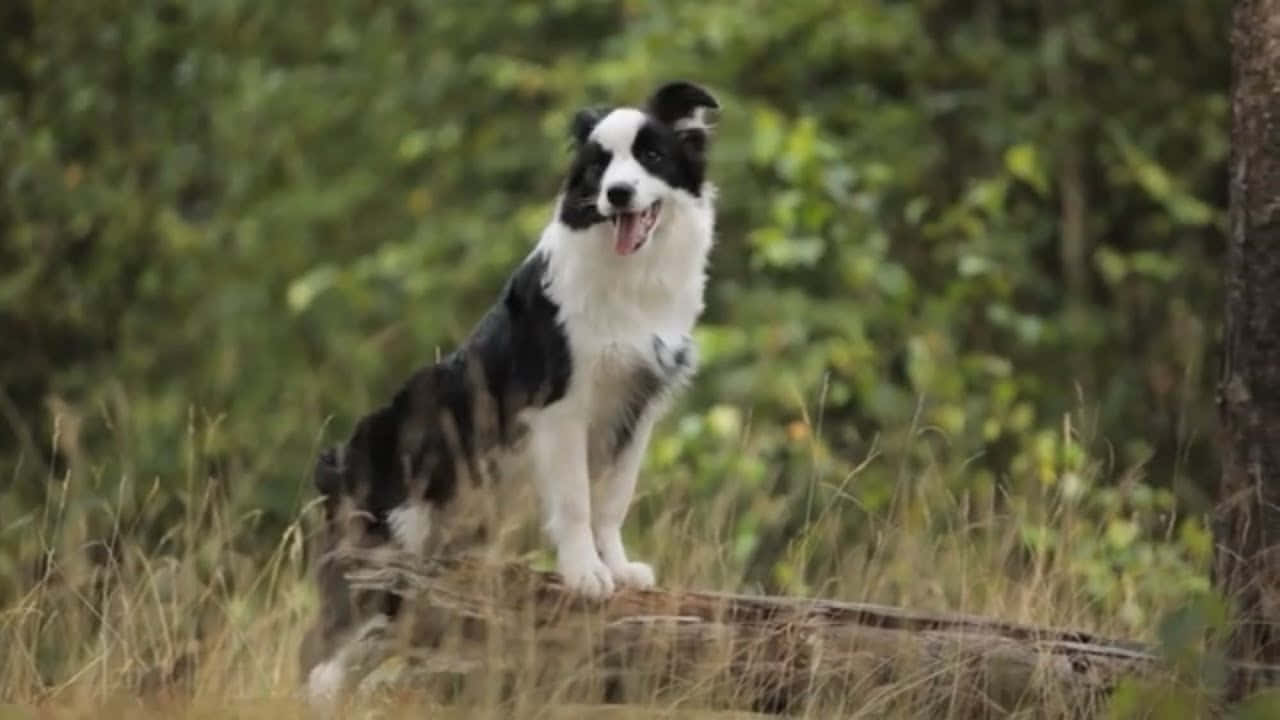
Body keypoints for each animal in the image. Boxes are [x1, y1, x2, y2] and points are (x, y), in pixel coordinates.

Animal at [296, 81, 721, 702]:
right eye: (599, 167)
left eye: (651, 156)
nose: (617, 194)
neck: (631, 277)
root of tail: (336, 466)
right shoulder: (561, 407)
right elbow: (575, 501)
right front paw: (586, 575)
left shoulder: (638, 406)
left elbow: (612, 501)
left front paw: (619, 569)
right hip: (395, 497)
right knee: (329, 637)